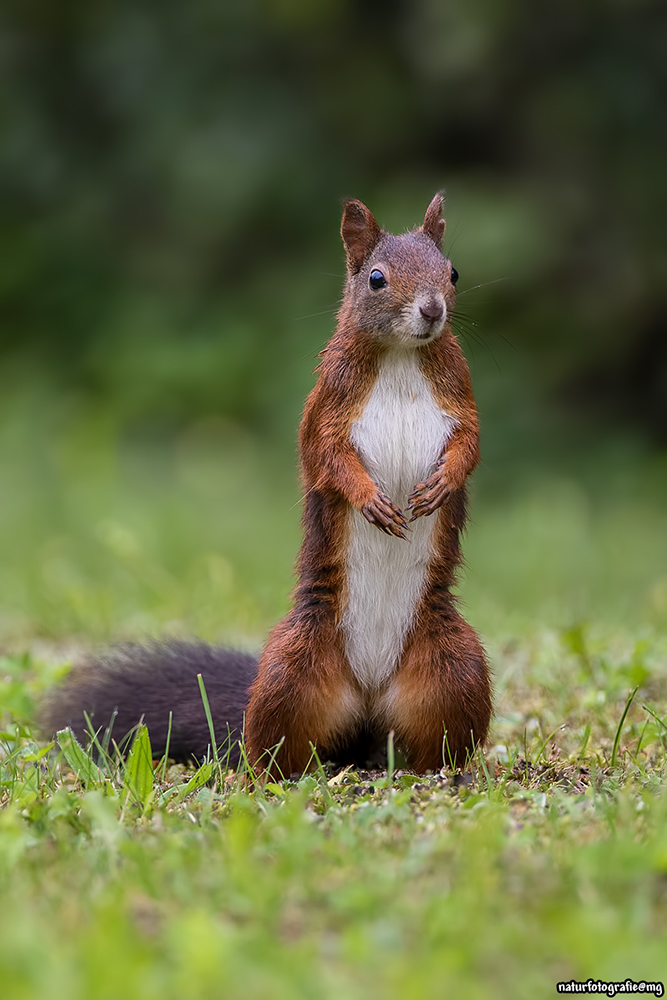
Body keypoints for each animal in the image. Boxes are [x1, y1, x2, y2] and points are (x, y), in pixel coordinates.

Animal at [40, 193, 490, 772]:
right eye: (376, 278)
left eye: (452, 272)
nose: (433, 310)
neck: (401, 355)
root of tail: (369, 706)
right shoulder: (327, 406)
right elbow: (327, 458)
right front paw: (369, 499)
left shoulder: (460, 395)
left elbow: (469, 446)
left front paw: (442, 485)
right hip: (289, 673)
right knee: (272, 745)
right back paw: (277, 774)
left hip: (455, 671)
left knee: (440, 741)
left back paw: (443, 773)